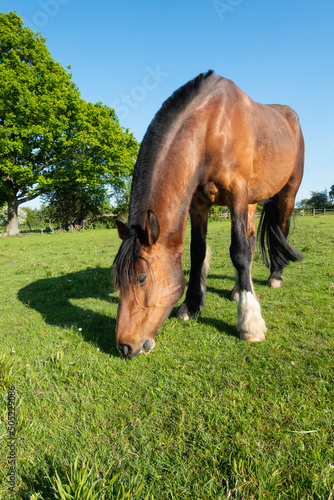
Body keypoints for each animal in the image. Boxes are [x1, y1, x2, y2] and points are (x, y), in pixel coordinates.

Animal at [113, 71, 304, 360]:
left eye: (141, 278)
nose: (123, 346)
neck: (213, 126)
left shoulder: (237, 191)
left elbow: (238, 252)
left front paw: (250, 323)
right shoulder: (198, 204)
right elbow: (198, 252)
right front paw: (191, 305)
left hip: (287, 194)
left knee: (278, 231)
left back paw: (275, 276)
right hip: (251, 202)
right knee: (250, 240)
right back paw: (237, 289)